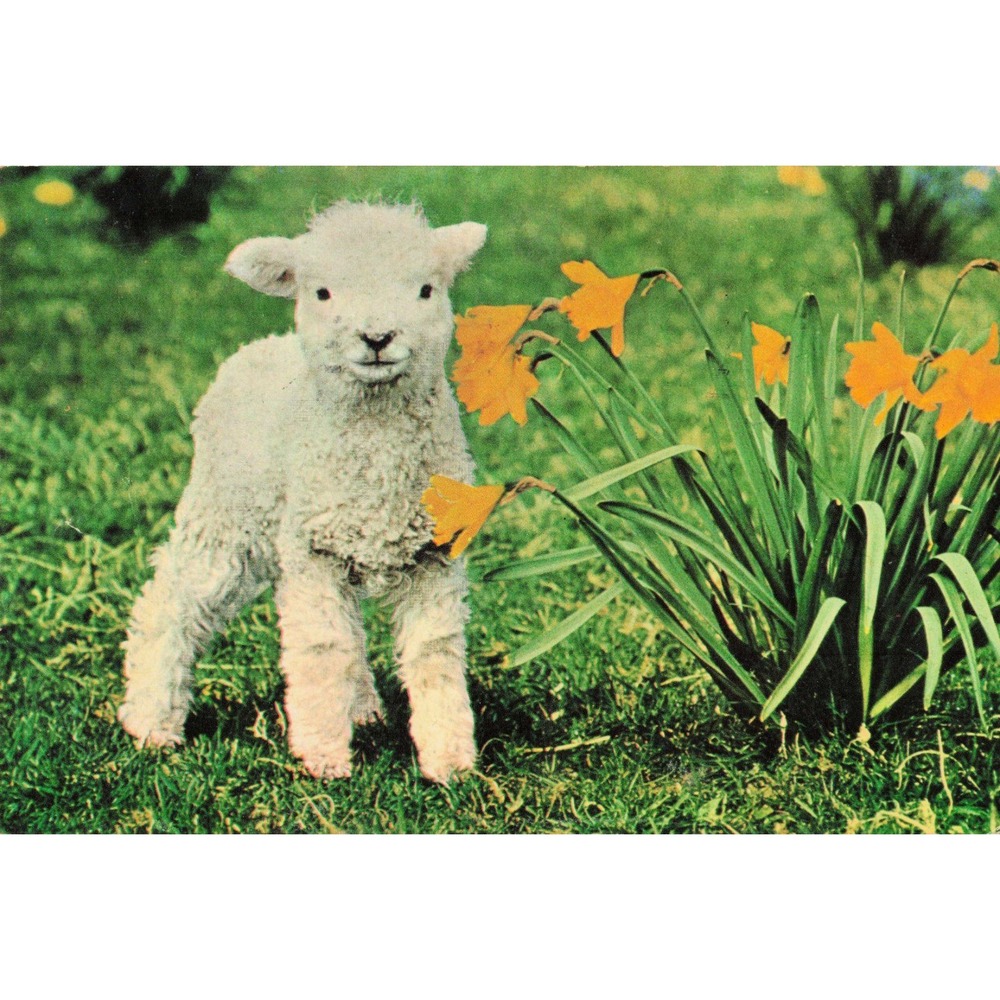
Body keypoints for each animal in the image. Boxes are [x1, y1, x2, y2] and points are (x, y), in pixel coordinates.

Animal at [118, 201, 488, 784]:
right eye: (322, 293)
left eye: (426, 290)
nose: (377, 337)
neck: (377, 451)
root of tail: (262, 345)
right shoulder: (313, 553)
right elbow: (320, 648)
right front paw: (323, 759)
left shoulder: (433, 555)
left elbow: (434, 654)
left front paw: (449, 761)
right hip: (224, 513)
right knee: (171, 600)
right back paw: (152, 721)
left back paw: (360, 709)